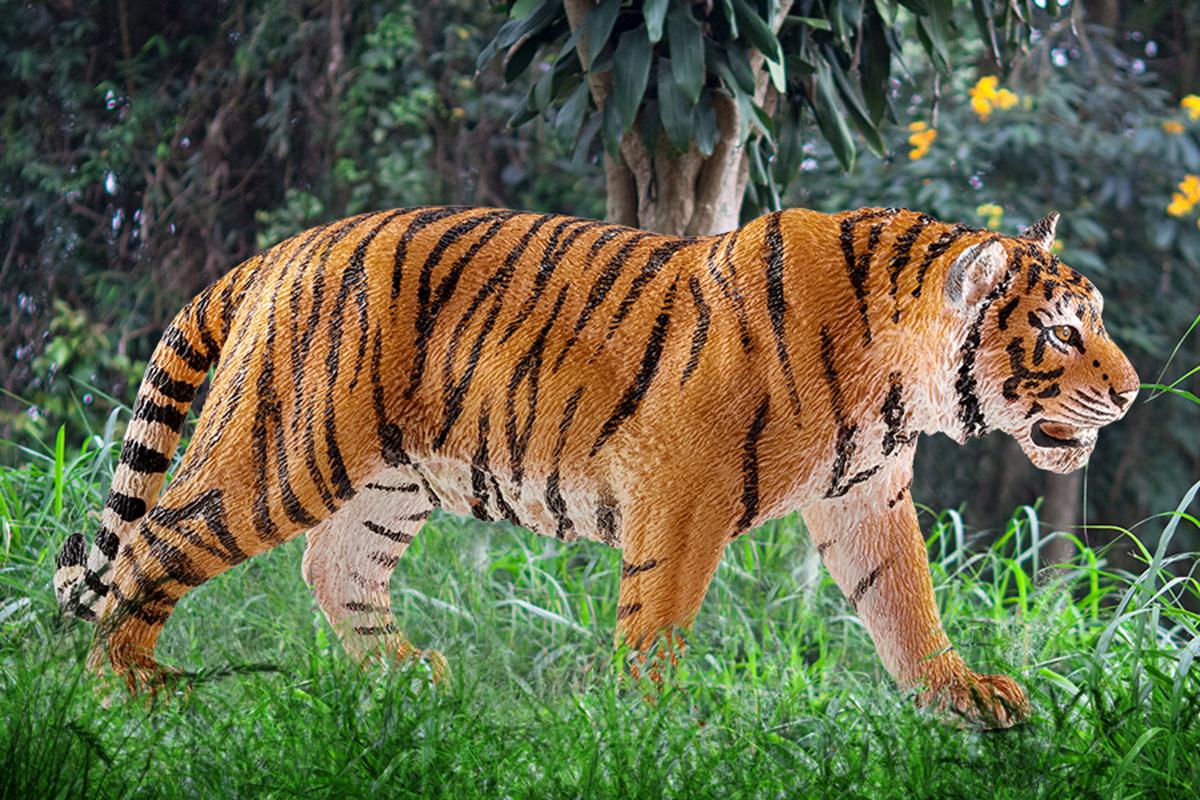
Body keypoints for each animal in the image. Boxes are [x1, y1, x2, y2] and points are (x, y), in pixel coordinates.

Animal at [53, 204, 1138, 727]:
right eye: (1061, 330)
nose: (1130, 393)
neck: (900, 382)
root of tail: (277, 253)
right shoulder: (682, 490)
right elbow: (657, 617)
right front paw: (652, 730)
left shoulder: (866, 496)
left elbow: (905, 604)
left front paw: (961, 697)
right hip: (285, 453)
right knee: (156, 539)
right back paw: (126, 689)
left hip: (390, 480)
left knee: (335, 566)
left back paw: (412, 681)